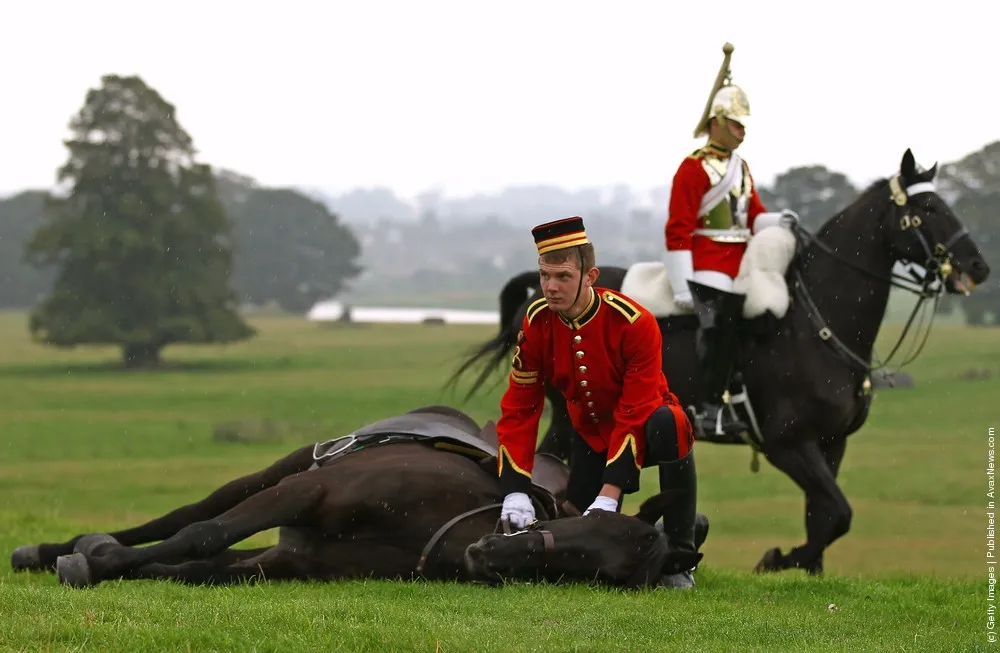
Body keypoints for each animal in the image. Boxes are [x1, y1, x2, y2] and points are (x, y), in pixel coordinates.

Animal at [11, 404, 708, 588]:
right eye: (588, 528)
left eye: (602, 574)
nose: (492, 556)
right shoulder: (307, 491)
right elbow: (198, 534)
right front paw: (89, 557)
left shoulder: (294, 560)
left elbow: (194, 567)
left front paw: (101, 561)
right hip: (280, 472)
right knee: (191, 517)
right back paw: (48, 549)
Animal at [454, 152, 992, 576]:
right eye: (928, 208)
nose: (978, 267)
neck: (816, 323)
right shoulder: (787, 444)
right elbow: (837, 512)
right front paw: (778, 559)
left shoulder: (831, 442)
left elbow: (825, 514)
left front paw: (809, 570)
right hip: (568, 417)